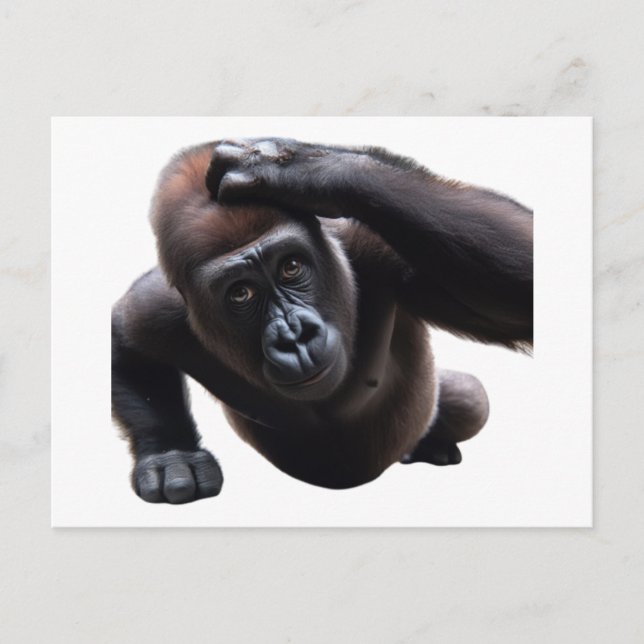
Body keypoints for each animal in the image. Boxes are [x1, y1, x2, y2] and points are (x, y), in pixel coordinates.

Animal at [111, 137, 532, 504]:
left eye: (291, 267)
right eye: (241, 293)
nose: (294, 336)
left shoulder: (373, 249)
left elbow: (521, 301)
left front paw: (292, 168)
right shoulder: (158, 307)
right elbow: (126, 340)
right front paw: (170, 454)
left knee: (469, 398)